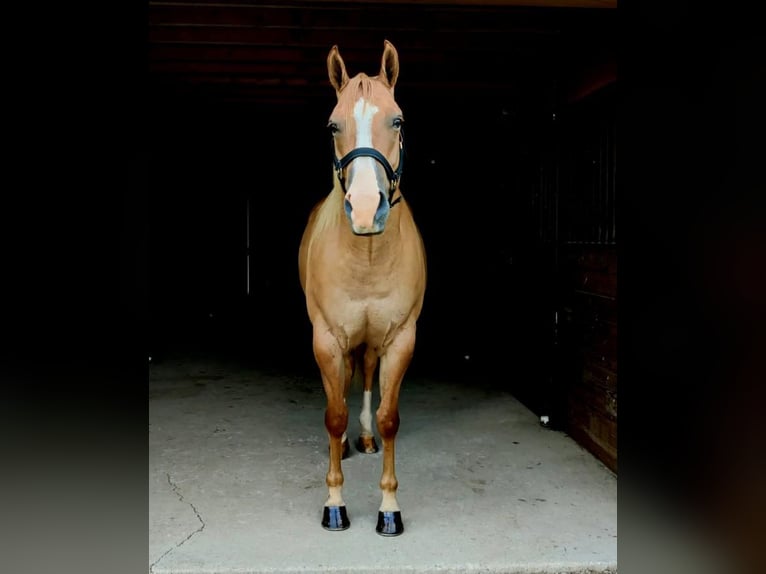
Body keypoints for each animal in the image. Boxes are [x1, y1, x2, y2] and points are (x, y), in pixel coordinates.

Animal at [298, 41, 428, 540]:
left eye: (399, 121)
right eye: (333, 124)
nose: (368, 209)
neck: (367, 254)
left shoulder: (399, 339)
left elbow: (390, 418)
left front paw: (389, 509)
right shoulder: (328, 339)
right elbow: (333, 414)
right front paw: (335, 504)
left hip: (372, 343)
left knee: (367, 377)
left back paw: (366, 437)